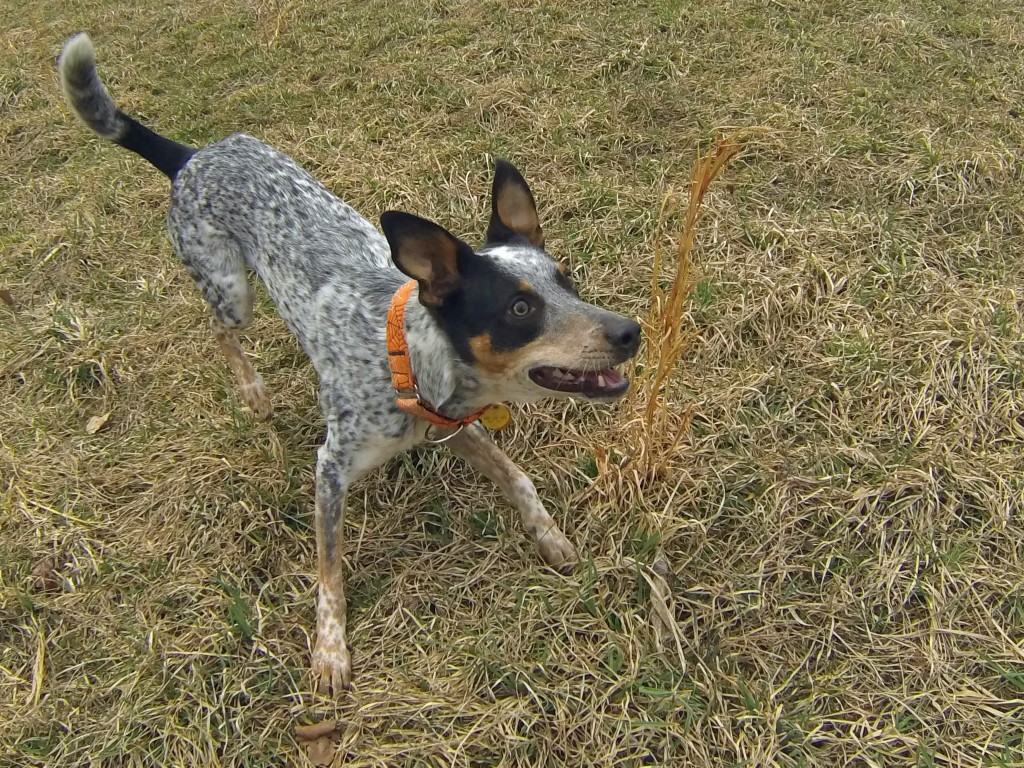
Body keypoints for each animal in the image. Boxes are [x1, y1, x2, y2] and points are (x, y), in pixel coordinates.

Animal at [58, 33, 638, 696]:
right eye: (520, 308)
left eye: (567, 282)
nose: (631, 331)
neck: (408, 356)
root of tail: (191, 154)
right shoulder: (331, 470)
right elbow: (328, 571)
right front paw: (330, 649)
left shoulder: (452, 428)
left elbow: (519, 479)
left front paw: (550, 538)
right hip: (231, 292)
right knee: (217, 331)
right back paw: (254, 392)